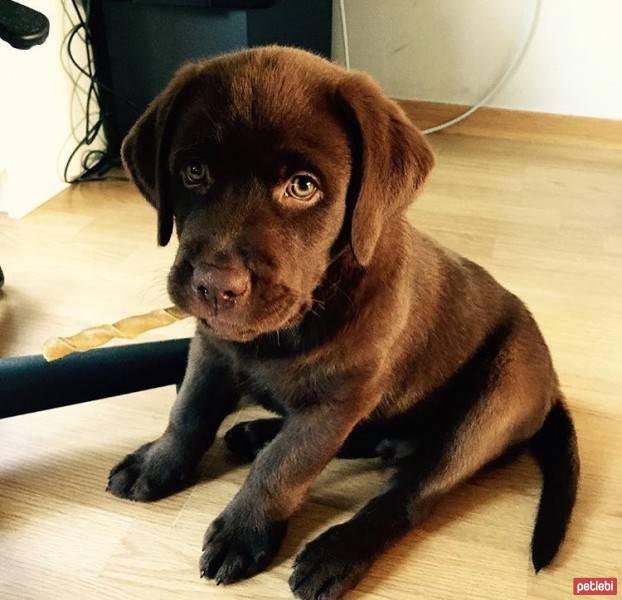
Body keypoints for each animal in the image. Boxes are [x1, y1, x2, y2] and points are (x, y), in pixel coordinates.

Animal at [107, 45, 580, 596]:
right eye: (194, 172)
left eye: (302, 187)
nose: (215, 286)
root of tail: (553, 388)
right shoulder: (211, 351)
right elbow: (188, 414)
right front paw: (158, 464)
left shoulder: (340, 399)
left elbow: (286, 466)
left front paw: (245, 531)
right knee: (370, 440)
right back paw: (257, 433)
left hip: (494, 401)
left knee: (410, 492)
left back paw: (335, 552)